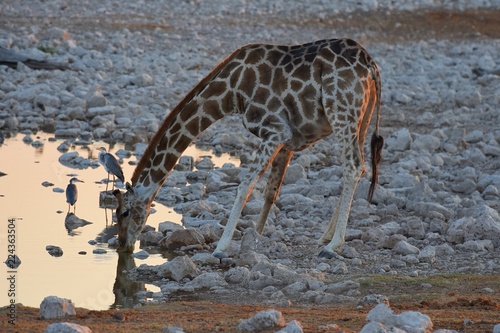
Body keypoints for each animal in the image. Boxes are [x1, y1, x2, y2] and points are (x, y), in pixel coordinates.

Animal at [113, 37, 384, 258]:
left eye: (124, 212)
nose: (122, 245)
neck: (231, 92)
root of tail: (370, 64)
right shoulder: (288, 140)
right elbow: (271, 191)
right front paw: (256, 237)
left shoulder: (275, 130)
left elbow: (245, 185)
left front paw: (221, 246)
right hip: (362, 117)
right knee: (358, 167)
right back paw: (326, 236)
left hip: (341, 110)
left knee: (353, 166)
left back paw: (333, 245)